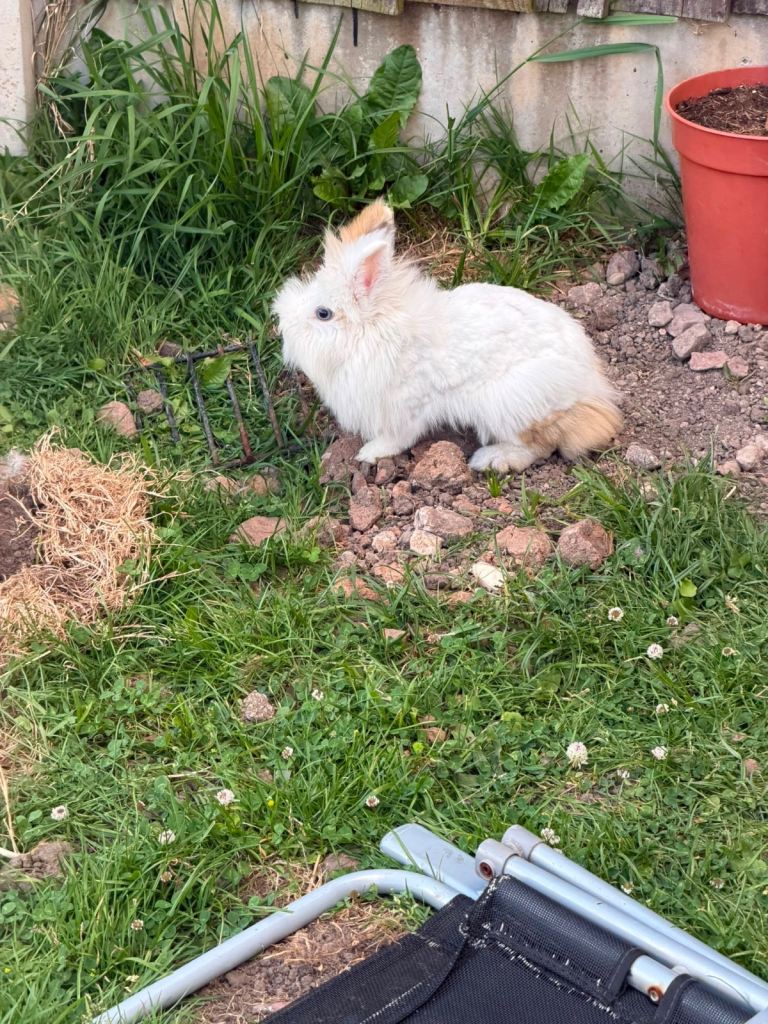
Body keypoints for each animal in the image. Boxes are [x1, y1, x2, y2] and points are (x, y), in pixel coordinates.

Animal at [273, 200, 622, 473]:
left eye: (323, 314)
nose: (284, 328)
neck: (372, 330)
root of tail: (593, 390)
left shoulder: (406, 408)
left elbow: (397, 438)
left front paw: (369, 453)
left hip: (512, 403)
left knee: (539, 446)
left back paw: (490, 460)